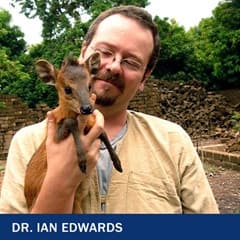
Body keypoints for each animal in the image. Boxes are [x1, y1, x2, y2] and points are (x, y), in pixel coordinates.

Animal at [24, 52, 123, 212]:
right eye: (67, 89)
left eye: (90, 85)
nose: (87, 108)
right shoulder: (56, 136)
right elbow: (71, 122)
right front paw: (82, 160)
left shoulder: (93, 125)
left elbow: (103, 132)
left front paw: (118, 164)